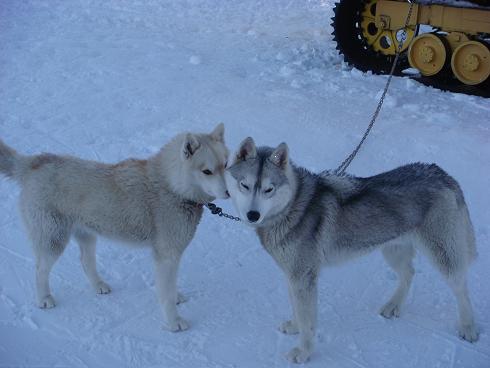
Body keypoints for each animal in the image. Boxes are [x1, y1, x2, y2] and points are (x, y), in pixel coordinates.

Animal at [0, 124, 229, 334]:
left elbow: (170, 288)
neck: (173, 187)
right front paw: (174, 322)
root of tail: (33, 163)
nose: (228, 193)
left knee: (85, 262)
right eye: (206, 171)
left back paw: (98, 285)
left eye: (225, 165)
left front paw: (176, 297)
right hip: (53, 239)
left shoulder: (170, 257)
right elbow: (166, 295)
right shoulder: (167, 255)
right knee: (40, 269)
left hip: (87, 235)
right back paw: (44, 298)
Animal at [226, 137, 478, 362]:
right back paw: (393, 306)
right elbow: (298, 310)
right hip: (392, 250)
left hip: (443, 256)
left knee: (462, 288)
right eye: (245, 185)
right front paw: (295, 326)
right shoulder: (294, 276)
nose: (253, 215)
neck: (293, 207)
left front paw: (303, 352)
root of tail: (442, 174)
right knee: (409, 273)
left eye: (269, 189)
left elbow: (308, 321)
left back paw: (469, 328)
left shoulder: (303, 277)